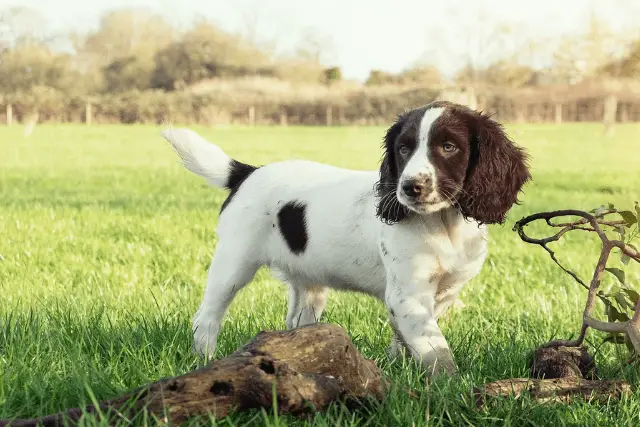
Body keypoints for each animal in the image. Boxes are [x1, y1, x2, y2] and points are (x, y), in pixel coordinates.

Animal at [162, 102, 532, 376]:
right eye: (402, 149)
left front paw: (402, 372)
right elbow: (436, 350)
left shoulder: (442, 293)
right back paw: (206, 362)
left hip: (307, 283)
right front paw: (449, 386)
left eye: (449, 146)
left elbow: (410, 340)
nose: (410, 187)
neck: (443, 223)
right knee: (207, 317)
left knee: (296, 322)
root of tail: (247, 172)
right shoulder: (408, 296)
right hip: (234, 262)